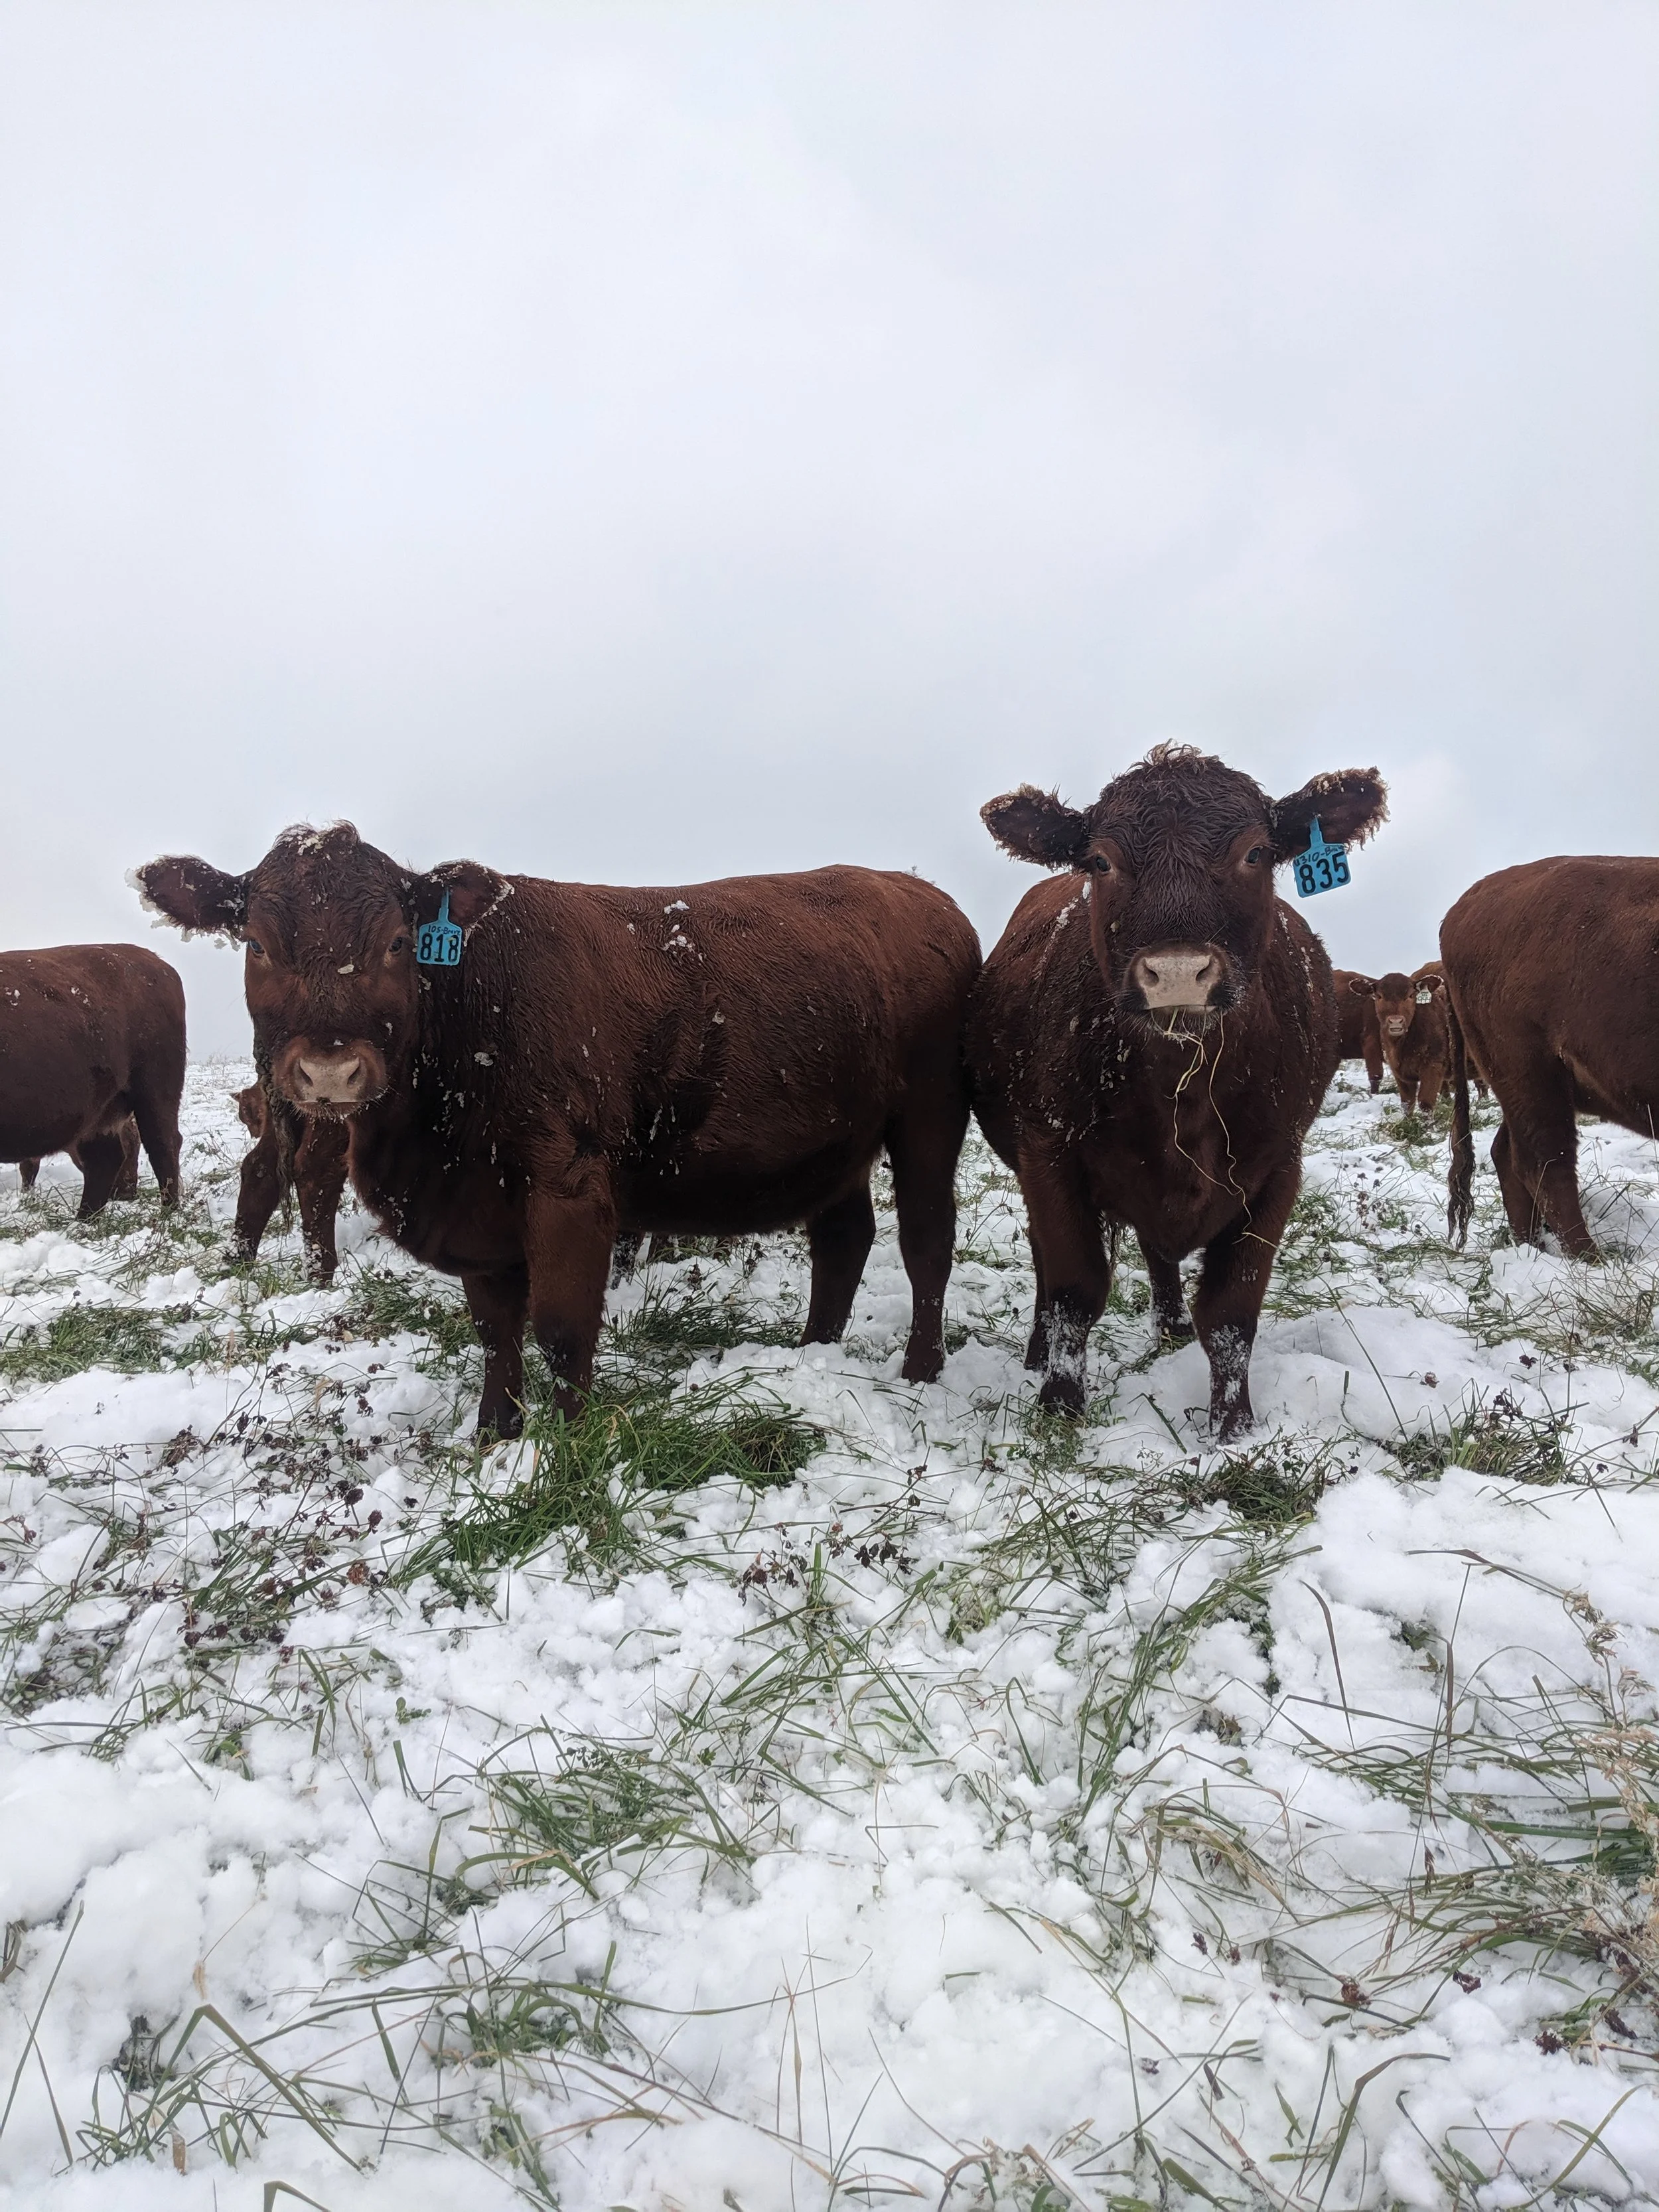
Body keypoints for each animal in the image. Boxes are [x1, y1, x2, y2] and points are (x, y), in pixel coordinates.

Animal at [1443, 857, 1659, 1258]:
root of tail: (1463, 906)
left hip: (1530, 1086)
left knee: (1510, 1153)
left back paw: (1531, 1247)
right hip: (1530, 1074)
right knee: (1545, 1161)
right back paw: (1590, 1260)